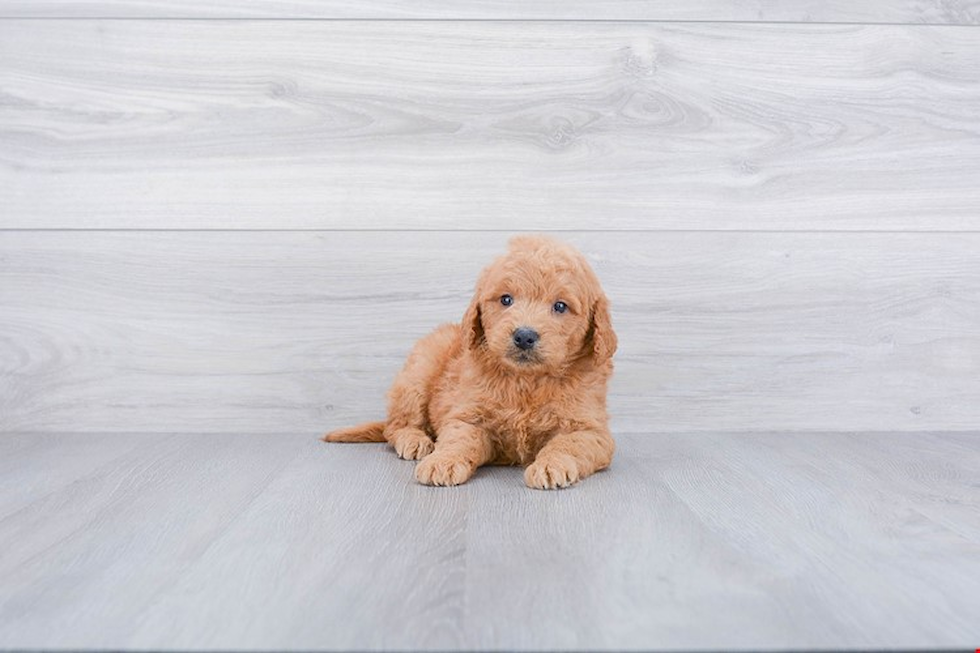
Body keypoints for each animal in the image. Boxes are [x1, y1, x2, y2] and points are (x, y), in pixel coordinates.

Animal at [326, 236, 616, 488]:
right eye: (506, 299)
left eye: (560, 306)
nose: (524, 336)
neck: (525, 380)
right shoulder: (467, 415)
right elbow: (458, 438)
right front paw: (442, 462)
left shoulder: (591, 430)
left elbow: (568, 444)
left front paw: (551, 465)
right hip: (418, 371)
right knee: (396, 426)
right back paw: (415, 440)